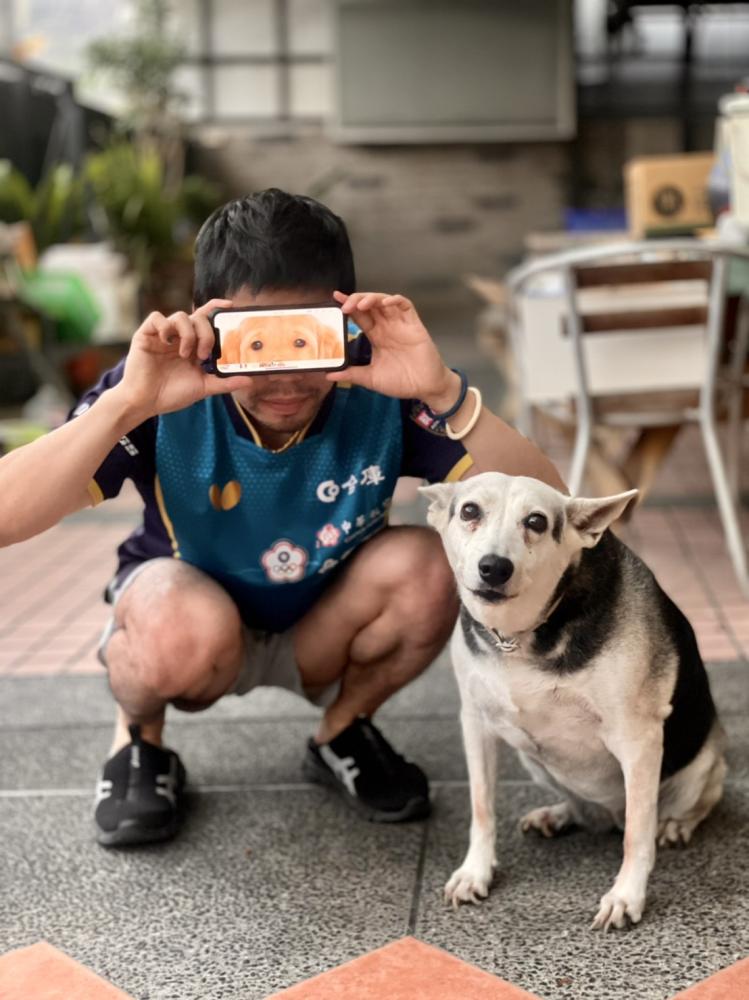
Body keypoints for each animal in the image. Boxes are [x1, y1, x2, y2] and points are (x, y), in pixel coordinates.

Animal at [420, 474, 724, 928]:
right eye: (469, 510)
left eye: (537, 521)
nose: (494, 567)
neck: (521, 636)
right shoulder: (475, 723)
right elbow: (482, 807)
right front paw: (476, 872)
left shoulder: (638, 739)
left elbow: (638, 833)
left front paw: (626, 896)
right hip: (534, 760)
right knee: (581, 805)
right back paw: (558, 814)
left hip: (702, 767)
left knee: (676, 807)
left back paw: (675, 824)